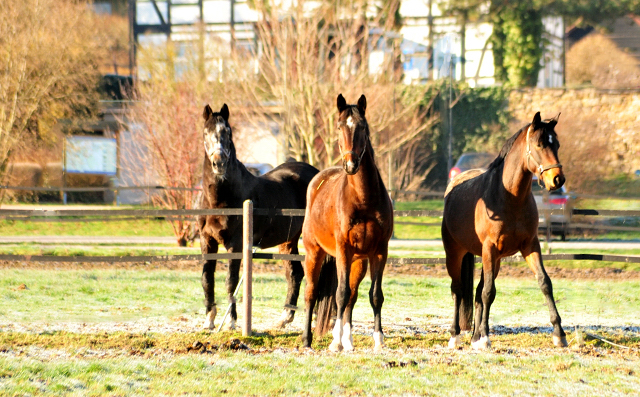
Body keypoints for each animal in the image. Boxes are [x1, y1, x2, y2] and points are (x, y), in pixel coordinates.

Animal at [200, 102, 332, 328]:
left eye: (228, 131)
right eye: (206, 132)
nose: (219, 163)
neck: (220, 201)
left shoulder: (235, 244)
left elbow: (231, 282)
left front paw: (232, 322)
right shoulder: (207, 241)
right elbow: (207, 279)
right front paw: (209, 321)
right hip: (289, 240)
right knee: (295, 273)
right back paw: (285, 318)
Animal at [302, 94, 396, 352]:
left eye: (362, 126)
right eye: (339, 126)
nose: (351, 165)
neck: (363, 199)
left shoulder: (379, 251)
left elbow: (375, 295)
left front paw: (378, 339)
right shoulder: (343, 249)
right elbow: (340, 294)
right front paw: (335, 343)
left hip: (358, 261)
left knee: (352, 296)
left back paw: (346, 339)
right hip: (315, 253)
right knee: (313, 292)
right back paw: (308, 340)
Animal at [442, 112, 568, 350]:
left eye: (556, 144)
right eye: (539, 144)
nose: (558, 179)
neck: (510, 197)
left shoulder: (530, 246)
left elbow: (544, 283)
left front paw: (559, 334)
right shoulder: (489, 249)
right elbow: (488, 292)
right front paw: (485, 338)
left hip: (493, 259)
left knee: (476, 292)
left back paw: (474, 337)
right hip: (455, 254)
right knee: (457, 290)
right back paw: (455, 336)